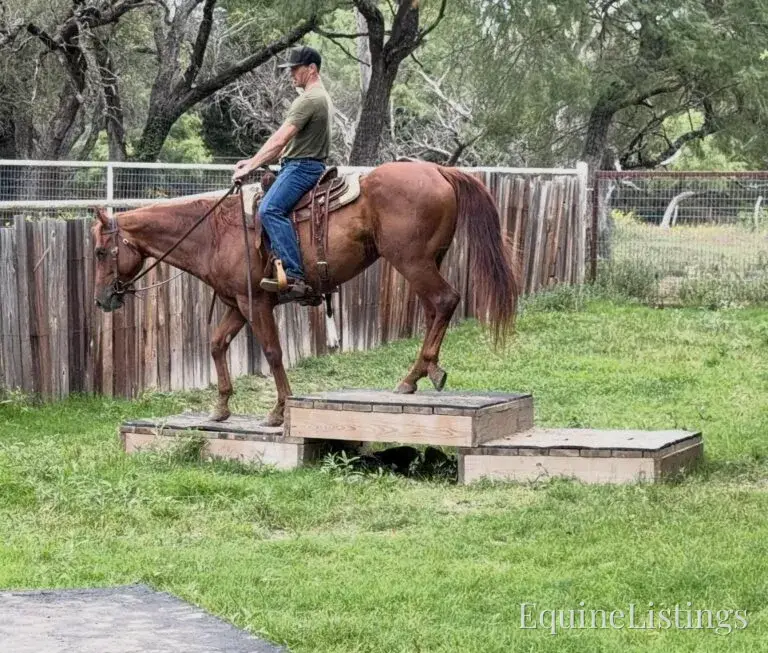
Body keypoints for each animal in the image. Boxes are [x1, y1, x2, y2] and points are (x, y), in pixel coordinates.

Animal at [91, 161, 520, 426]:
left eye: (99, 251)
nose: (102, 300)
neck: (213, 232)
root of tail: (438, 170)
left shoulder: (255, 303)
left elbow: (272, 352)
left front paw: (279, 411)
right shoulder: (237, 304)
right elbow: (216, 344)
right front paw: (221, 408)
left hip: (412, 261)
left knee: (445, 301)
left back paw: (417, 375)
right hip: (428, 261)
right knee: (435, 310)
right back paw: (418, 375)